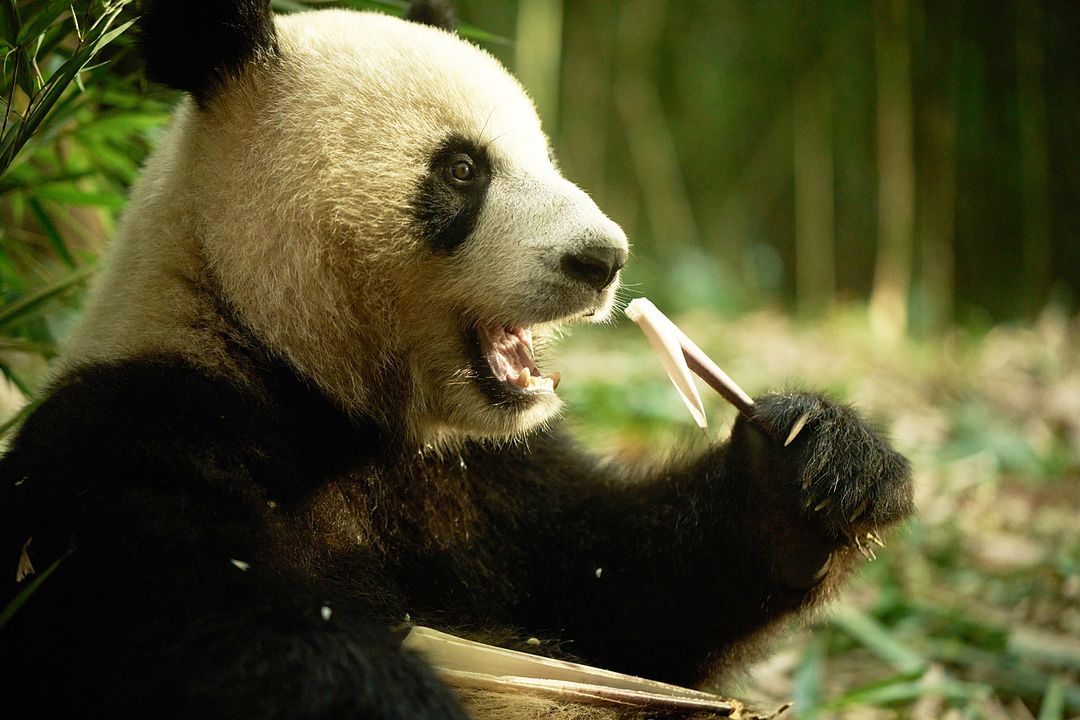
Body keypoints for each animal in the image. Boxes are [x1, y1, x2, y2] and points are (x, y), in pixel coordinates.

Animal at [0, 1, 913, 718]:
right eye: (463, 168)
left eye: (544, 154)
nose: (602, 259)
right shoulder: (137, 429)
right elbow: (197, 626)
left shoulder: (495, 478)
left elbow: (621, 600)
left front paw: (815, 469)